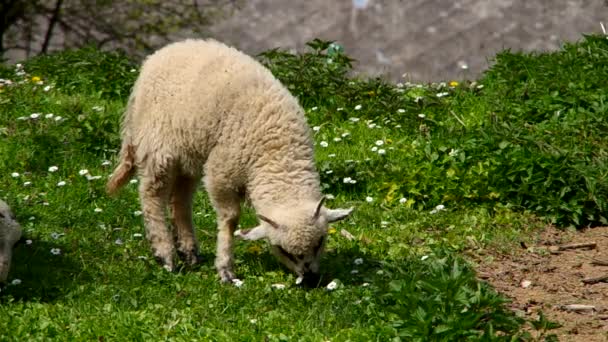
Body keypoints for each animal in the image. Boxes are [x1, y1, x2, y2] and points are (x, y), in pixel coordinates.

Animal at [107, 38, 354, 284]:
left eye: (320, 242)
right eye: (283, 250)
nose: (311, 279)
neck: (277, 151)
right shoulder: (221, 172)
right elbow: (230, 219)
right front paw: (225, 268)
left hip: (189, 151)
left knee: (180, 199)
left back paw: (189, 252)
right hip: (159, 145)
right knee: (152, 195)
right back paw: (165, 253)